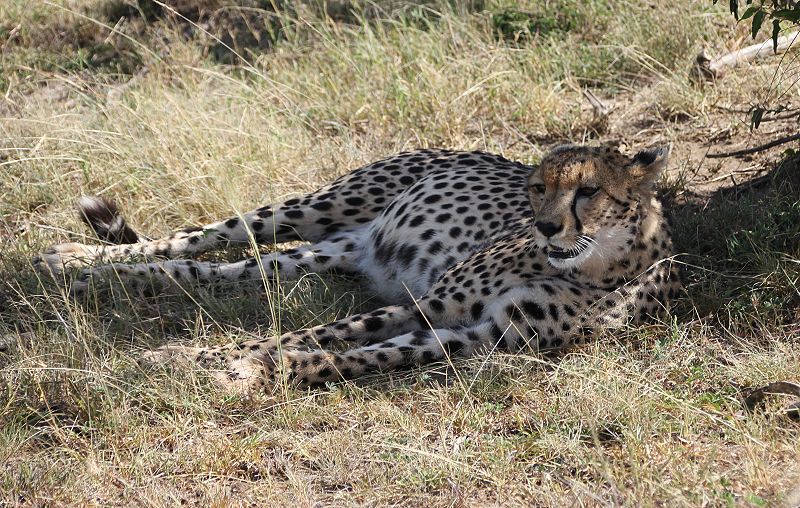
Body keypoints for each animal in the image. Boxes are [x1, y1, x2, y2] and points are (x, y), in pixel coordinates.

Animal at [34, 145, 680, 390]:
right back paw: (80, 260)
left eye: (588, 191)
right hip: (312, 208)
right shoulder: (432, 302)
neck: (590, 266)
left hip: (318, 253)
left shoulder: (476, 334)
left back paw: (103, 277)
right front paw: (195, 357)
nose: (545, 226)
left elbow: (359, 355)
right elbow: (301, 332)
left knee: (220, 270)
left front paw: (274, 371)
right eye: (538, 188)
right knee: (197, 237)